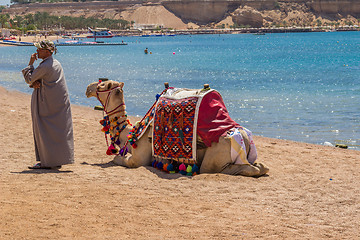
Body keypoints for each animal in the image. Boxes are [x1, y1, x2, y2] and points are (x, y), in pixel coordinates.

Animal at [86, 80, 268, 176]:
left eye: (102, 85)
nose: (88, 88)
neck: (132, 134)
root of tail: (242, 135)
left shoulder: (138, 159)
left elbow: (118, 159)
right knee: (258, 166)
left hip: (218, 153)